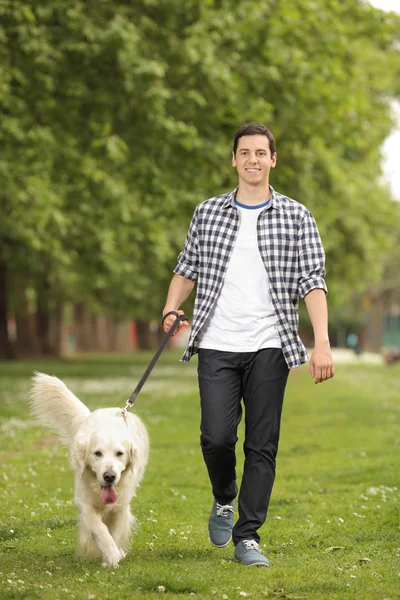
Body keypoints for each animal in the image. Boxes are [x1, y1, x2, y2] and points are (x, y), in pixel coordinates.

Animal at [29, 370, 148, 568]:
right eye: (97, 453)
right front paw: (111, 554)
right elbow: (99, 528)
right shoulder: (84, 501)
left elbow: (114, 531)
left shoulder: (121, 505)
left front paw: (112, 557)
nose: (109, 476)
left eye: (120, 453)